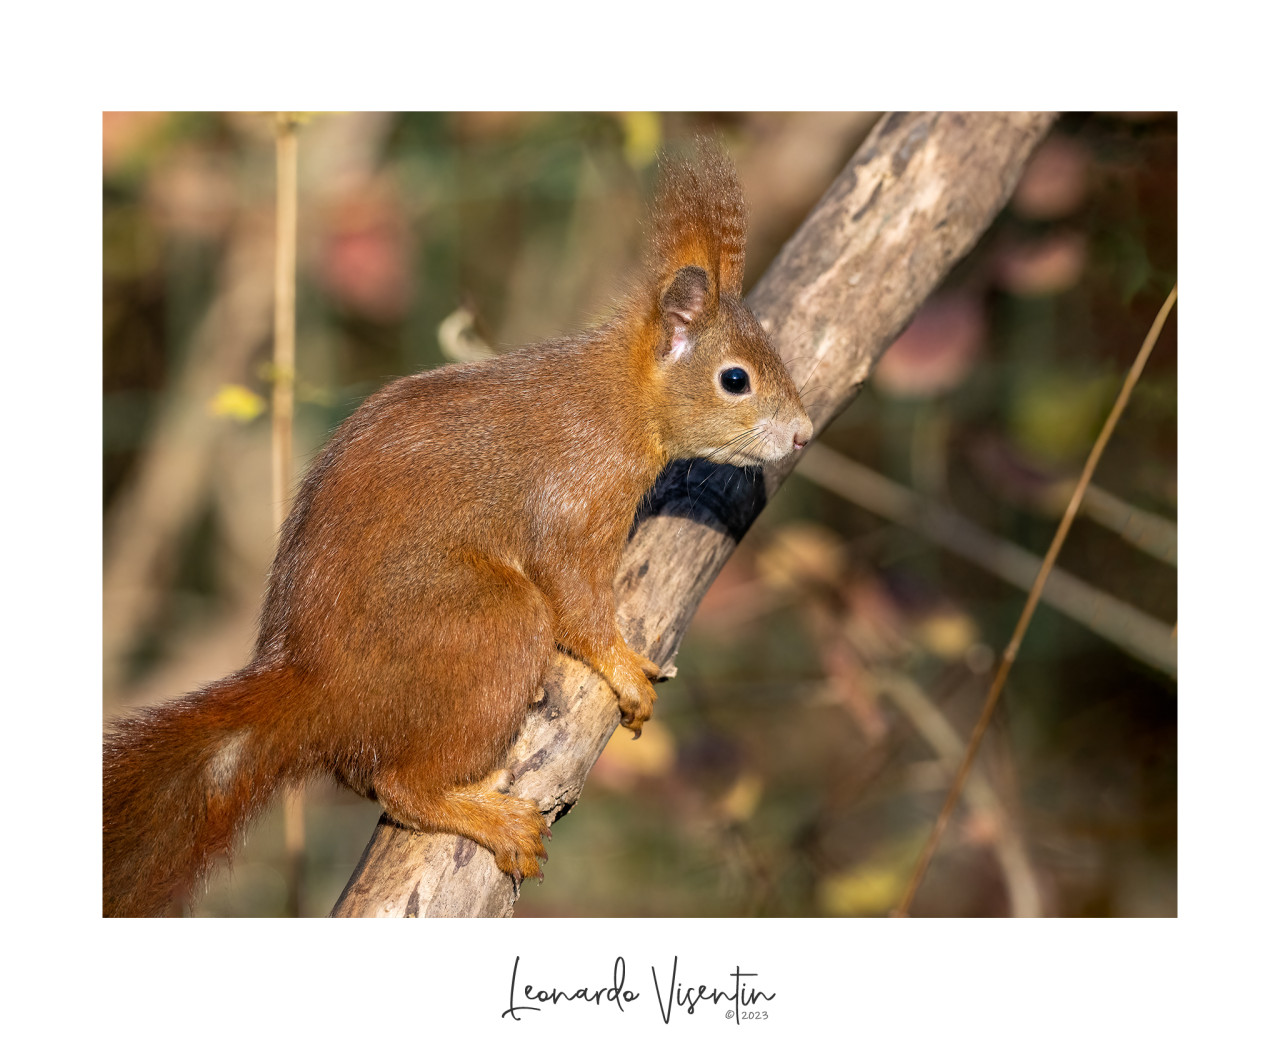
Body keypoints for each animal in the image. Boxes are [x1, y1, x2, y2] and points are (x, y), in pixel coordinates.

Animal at [103, 138, 813, 917]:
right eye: (735, 379)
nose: (805, 433)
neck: (620, 401)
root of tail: (319, 690)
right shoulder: (574, 502)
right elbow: (577, 601)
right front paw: (624, 666)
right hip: (487, 627)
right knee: (402, 784)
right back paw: (488, 817)